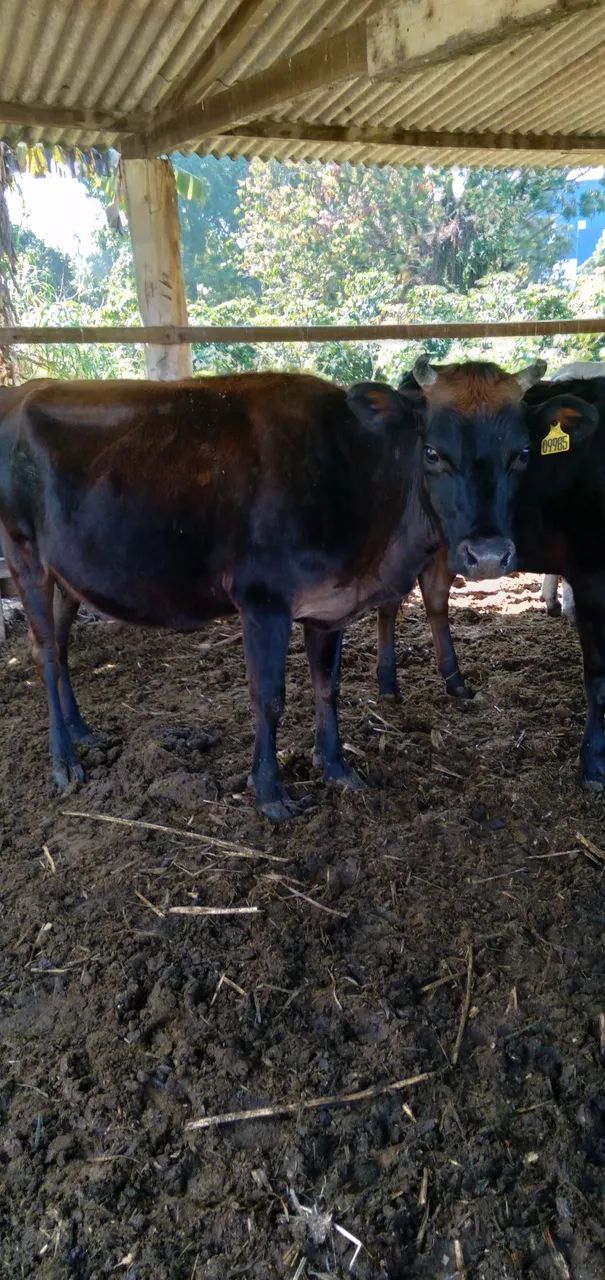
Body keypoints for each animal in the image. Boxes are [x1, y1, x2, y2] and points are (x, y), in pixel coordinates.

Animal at [0, 361, 546, 818]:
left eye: (522, 454)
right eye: (433, 452)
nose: (489, 554)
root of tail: (24, 390)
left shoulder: (330, 604)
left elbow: (328, 687)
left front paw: (337, 769)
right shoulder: (262, 600)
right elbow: (269, 697)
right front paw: (270, 794)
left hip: (67, 574)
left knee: (62, 647)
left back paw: (83, 732)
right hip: (24, 553)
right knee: (43, 653)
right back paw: (63, 761)